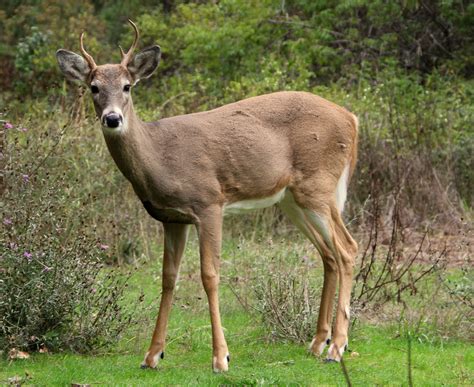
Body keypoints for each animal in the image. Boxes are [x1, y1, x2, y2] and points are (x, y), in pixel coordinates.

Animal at [56, 20, 360, 372]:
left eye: (128, 86)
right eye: (93, 87)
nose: (112, 118)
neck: (159, 156)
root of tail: (352, 119)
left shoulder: (209, 203)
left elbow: (209, 275)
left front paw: (221, 357)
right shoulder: (172, 218)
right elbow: (168, 278)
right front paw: (152, 355)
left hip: (317, 185)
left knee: (347, 249)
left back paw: (337, 346)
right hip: (292, 199)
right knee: (328, 254)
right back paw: (317, 342)